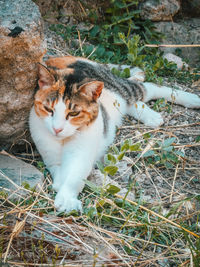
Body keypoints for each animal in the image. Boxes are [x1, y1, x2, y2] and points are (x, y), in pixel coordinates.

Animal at [28, 56, 200, 214]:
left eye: (74, 113)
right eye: (48, 109)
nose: (57, 129)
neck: (63, 139)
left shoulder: (83, 151)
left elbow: (75, 174)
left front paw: (67, 199)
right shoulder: (48, 153)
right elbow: (59, 173)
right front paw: (59, 186)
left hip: (121, 88)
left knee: (147, 88)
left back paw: (192, 99)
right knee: (130, 103)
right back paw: (151, 116)